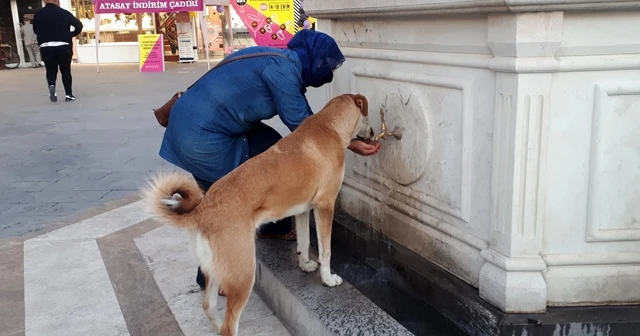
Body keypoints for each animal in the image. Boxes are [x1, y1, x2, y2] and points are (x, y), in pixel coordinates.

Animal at [144, 94, 376, 336]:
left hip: (216, 269)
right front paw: (328, 279)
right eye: (367, 116)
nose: (373, 133)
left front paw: (305, 265)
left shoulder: (303, 210)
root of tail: (204, 209)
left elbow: (304, 241)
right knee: (229, 325)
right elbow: (326, 250)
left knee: (209, 306)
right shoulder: (325, 206)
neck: (329, 126)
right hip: (244, 273)